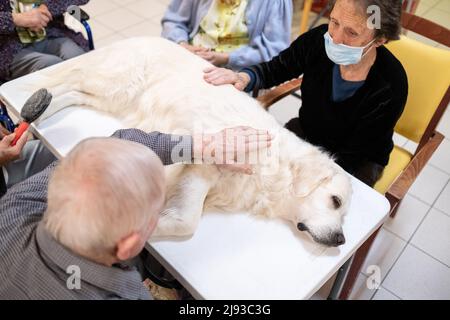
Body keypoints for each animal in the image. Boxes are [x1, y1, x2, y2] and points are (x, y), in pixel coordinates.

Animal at [37, 37, 352, 248]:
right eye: (335, 201)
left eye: (344, 212)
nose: (341, 240)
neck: (274, 165)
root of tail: (144, 36)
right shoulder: (203, 162)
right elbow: (188, 222)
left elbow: (186, 220)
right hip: (116, 83)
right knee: (69, 81)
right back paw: (36, 103)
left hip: (114, 97)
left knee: (74, 93)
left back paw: (41, 109)